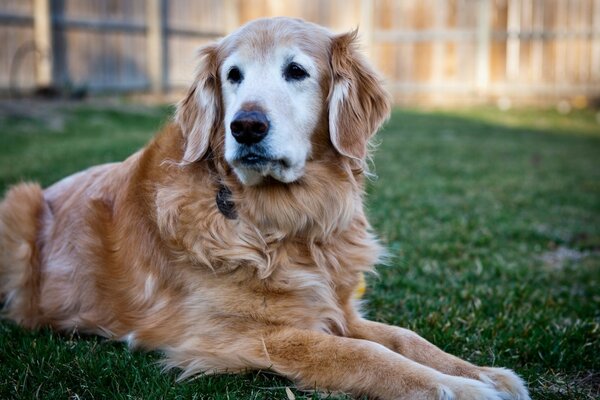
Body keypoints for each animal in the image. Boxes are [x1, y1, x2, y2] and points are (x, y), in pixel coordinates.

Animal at [2, 17, 532, 398]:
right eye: (232, 76)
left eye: (296, 71)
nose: (246, 126)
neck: (283, 223)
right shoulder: (243, 337)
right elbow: (363, 355)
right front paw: (462, 389)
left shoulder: (334, 307)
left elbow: (405, 338)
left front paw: (482, 373)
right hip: (18, 201)